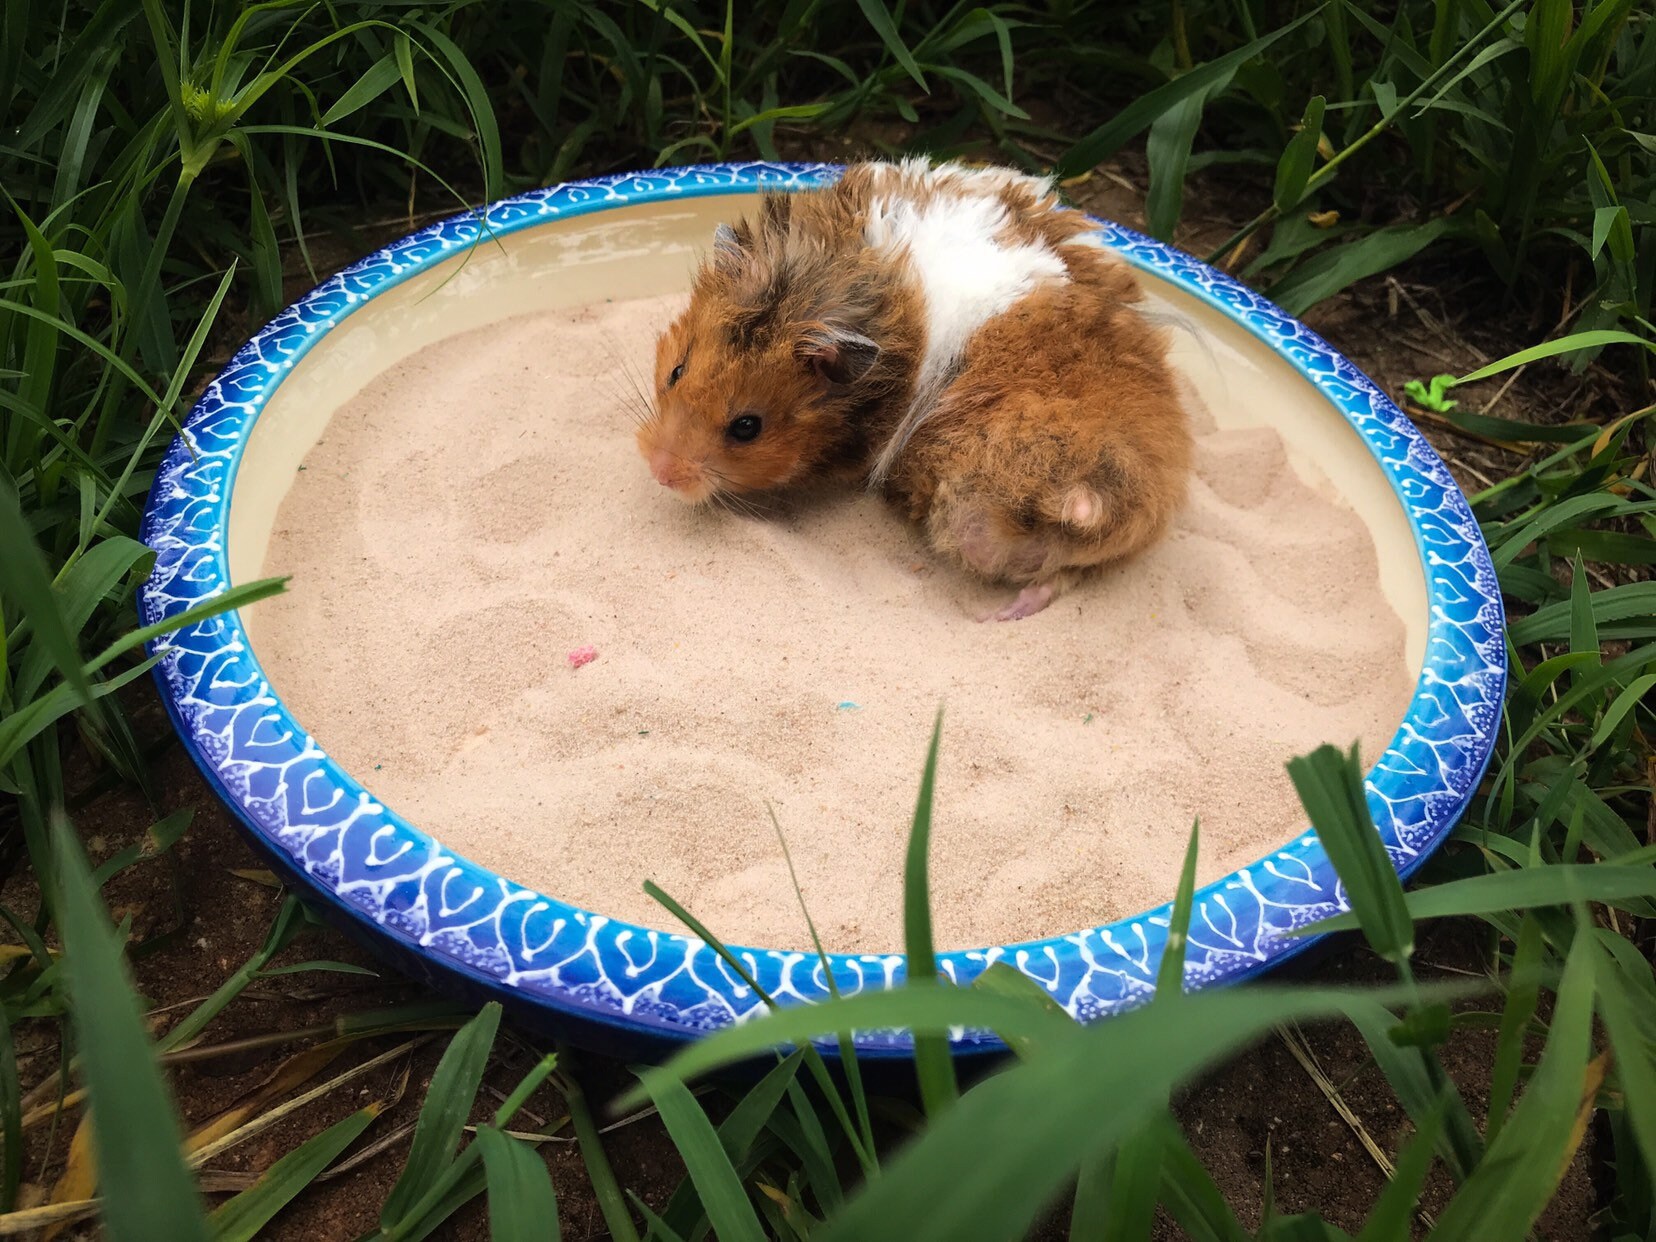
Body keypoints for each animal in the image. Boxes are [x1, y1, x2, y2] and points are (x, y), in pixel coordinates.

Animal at [636, 157, 1193, 621]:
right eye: (676, 371)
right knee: (1062, 575)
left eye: (747, 427)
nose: (661, 473)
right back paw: (1005, 614)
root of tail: (1086, 492)